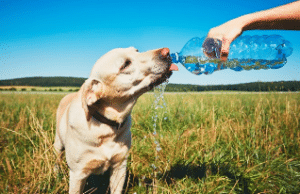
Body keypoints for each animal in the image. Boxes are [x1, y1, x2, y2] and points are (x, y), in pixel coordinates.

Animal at [53, 46, 178, 192]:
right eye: (125, 64)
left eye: (137, 50)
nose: (167, 51)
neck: (106, 126)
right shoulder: (77, 173)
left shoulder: (120, 166)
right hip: (58, 144)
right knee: (56, 160)